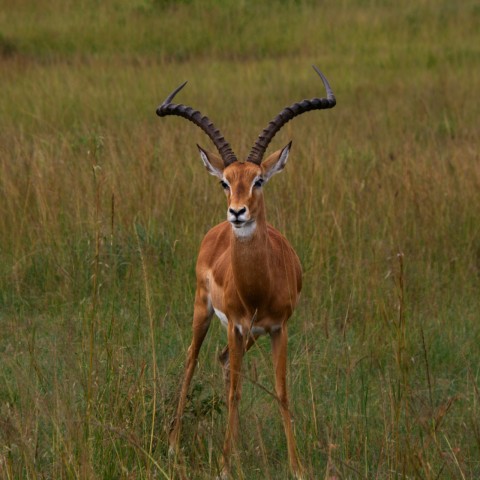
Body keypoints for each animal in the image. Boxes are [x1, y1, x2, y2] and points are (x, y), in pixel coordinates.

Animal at [156, 65, 336, 478]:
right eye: (225, 181)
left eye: (259, 180)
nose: (237, 212)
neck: (259, 285)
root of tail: (215, 232)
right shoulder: (237, 324)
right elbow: (237, 391)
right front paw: (223, 466)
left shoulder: (278, 328)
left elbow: (282, 390)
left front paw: (297, 467)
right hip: (205, 313)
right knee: (192, 361)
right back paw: (174, 446)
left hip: (248, 336)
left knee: (223, 363)